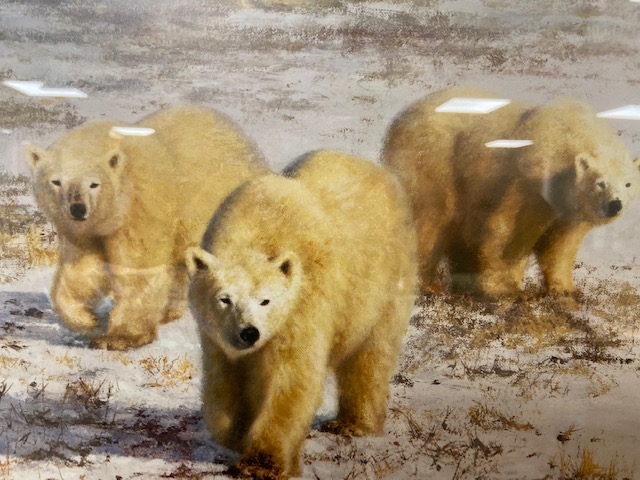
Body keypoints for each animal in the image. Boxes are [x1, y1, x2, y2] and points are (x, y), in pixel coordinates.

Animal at [25, 107, 268, 350]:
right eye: (56, 181)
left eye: (94, 184)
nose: (77, 209)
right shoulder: (84, 232)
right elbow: (82, 270)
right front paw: (87, 320)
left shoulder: (141, 210)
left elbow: (137, 270)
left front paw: (119, 337)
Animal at [186, 149, 416, 476]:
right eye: (224, 299)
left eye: (265, 301)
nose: (249, 333)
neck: (259, 227)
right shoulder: (217, 336)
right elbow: (224, 382)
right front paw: (239, 435)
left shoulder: (304, 304)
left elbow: (291, 379)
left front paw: (262, 463)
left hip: (386, 281)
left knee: (371, 354)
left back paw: (353, 424)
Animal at [384, 84, 640, 298]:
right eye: (600, 183)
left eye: (628, 184)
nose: (614, 205)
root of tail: (401, 117)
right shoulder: (532, 178)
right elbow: (510, 231)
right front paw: (505, 288)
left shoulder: (571, 211)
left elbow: (561, 245)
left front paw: (566, 289)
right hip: (435, 160)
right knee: (432, 218)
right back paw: (427, 284)